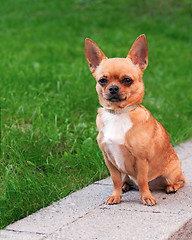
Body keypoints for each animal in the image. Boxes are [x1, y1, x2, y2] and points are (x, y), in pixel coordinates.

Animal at [85, 34, 185, 205]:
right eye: (102, 81)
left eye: (127, 80)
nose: (113, 88)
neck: (118, 113)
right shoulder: (109, 160)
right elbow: (115, 180)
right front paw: (116, 195)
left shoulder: (141, 159)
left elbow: (143, 181)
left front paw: (146, 197)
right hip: (125, 173)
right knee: (126, 180)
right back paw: (125, 186)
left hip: (172, 173)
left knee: (180, 180)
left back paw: (171, 187)